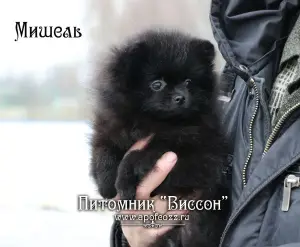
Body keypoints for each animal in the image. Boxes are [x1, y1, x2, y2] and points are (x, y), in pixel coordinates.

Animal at [90, 30, 229, 247]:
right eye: (157, 84)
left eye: (188, 82)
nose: (180, 97)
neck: (156, 122)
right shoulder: (110, 127)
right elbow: (102, 150)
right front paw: (105, 183)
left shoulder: (201, 157)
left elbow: (140, 155)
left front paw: (124, 180)